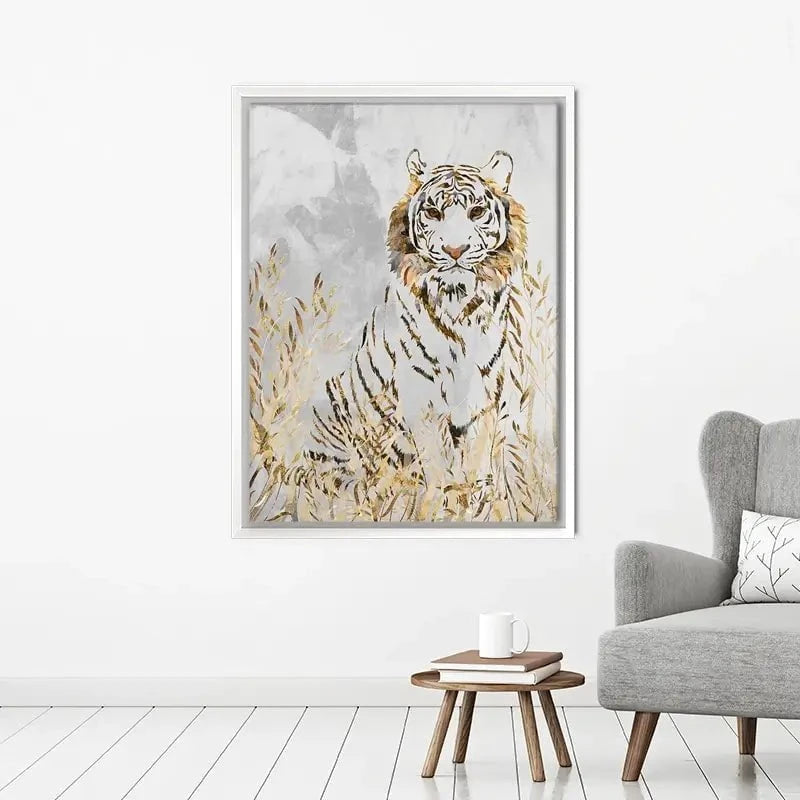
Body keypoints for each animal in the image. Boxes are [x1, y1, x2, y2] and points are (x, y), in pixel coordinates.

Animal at [306, 148, 528, 476]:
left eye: (476, 212)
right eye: (434, 213)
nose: (455, 250)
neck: (458, 302)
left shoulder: (483, 391)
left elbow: (476, 460)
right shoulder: (420, 395)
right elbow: (435, 465)